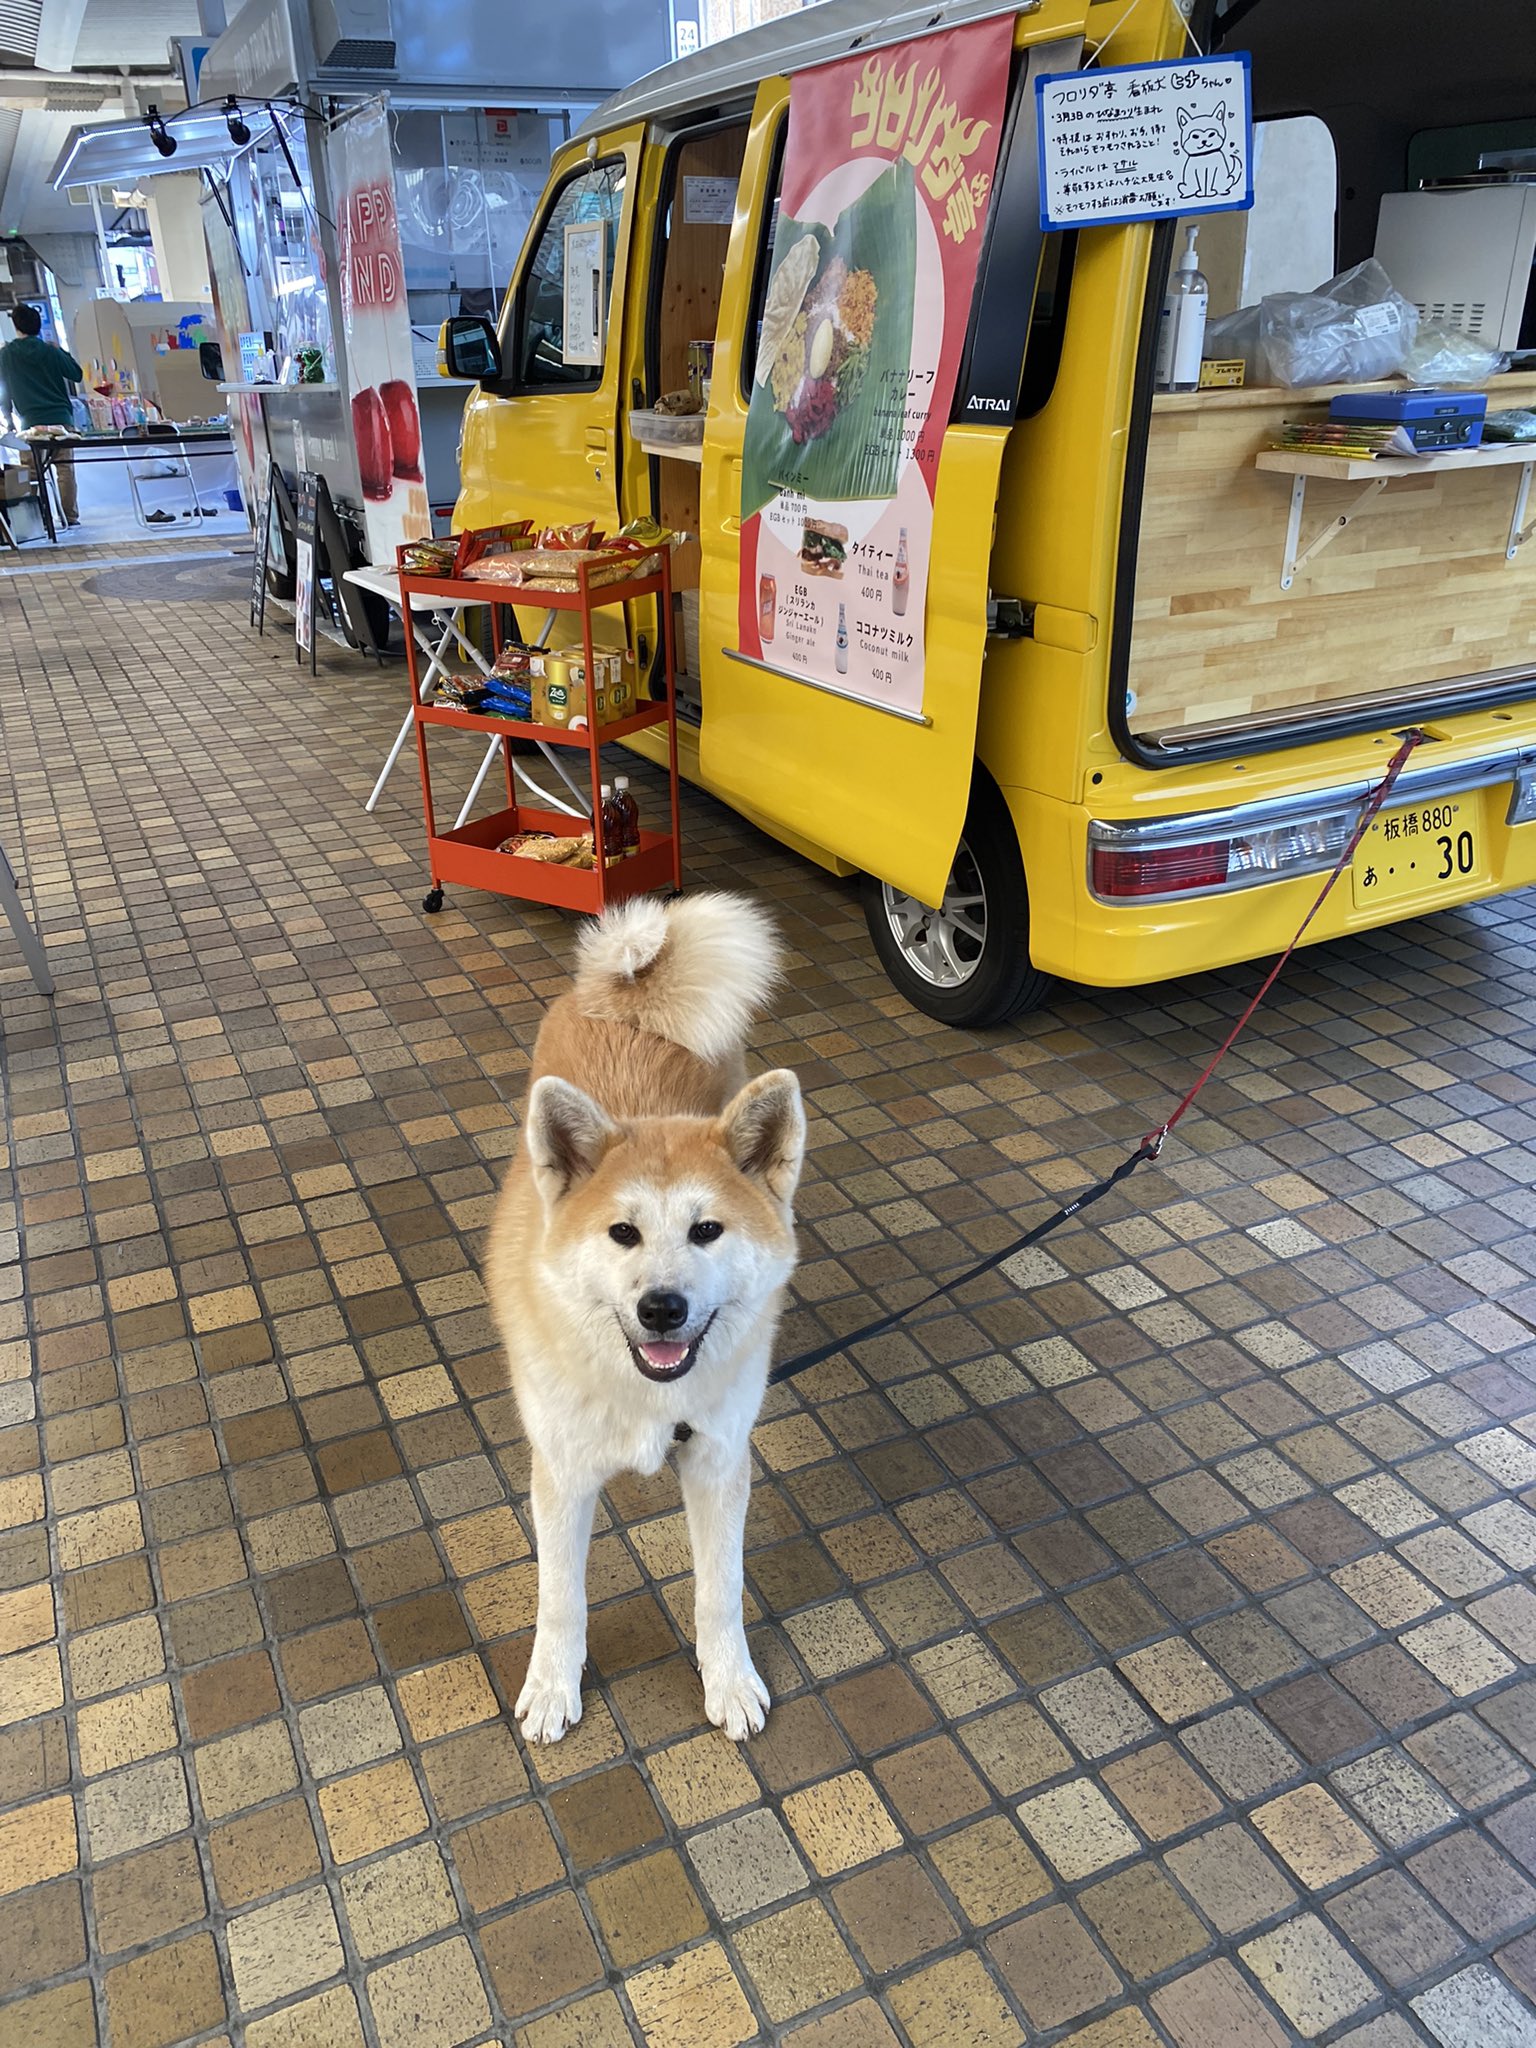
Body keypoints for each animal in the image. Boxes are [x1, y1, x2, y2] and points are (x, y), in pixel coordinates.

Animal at [487, 897, 806, 1744]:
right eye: (622, 1233)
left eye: (708, 1231)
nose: (662, 1307)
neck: (646, 1397)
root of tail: (627, 998)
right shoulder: (562, 1474)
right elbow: (560, 1600)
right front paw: (553, 1686)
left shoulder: (718, 1461)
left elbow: (719, 1591)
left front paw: (727, 1680)